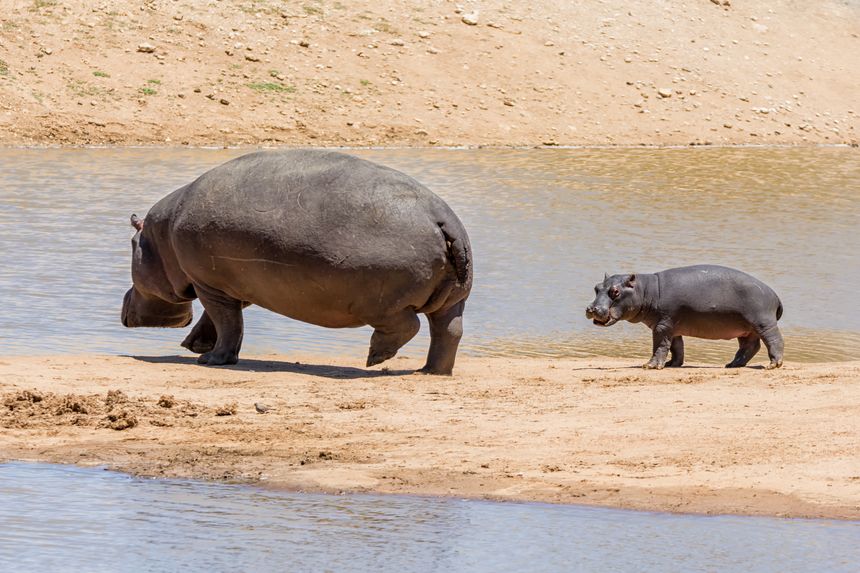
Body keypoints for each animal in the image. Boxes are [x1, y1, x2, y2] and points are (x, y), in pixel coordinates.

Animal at [119, 151, 470, 376]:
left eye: (131, 244)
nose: (123, 303)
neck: (161, 235)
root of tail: (442, 218)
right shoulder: (234, 285)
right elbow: (220, 319)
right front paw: (193, 346)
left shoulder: (210, 285)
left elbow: (227, 322)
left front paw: (210, 359)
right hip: (452, 300)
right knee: (448, 331)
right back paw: (430, 371)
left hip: (381, 302)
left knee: (406, 325)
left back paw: (374, 358)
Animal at [588, 264, 784, 368]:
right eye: (596, 287)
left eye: (615, 291)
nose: (592, 308)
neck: (646, 291)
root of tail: (775, 295)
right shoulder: (671, 327)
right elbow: (676, 347)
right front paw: (672, 364)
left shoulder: (662, 326)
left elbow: (660, 346)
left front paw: (650, 366)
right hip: (745, 329)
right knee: (749, 346)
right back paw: (732, 364)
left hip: (763, 323)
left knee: (774, 340)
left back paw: (773, 365)